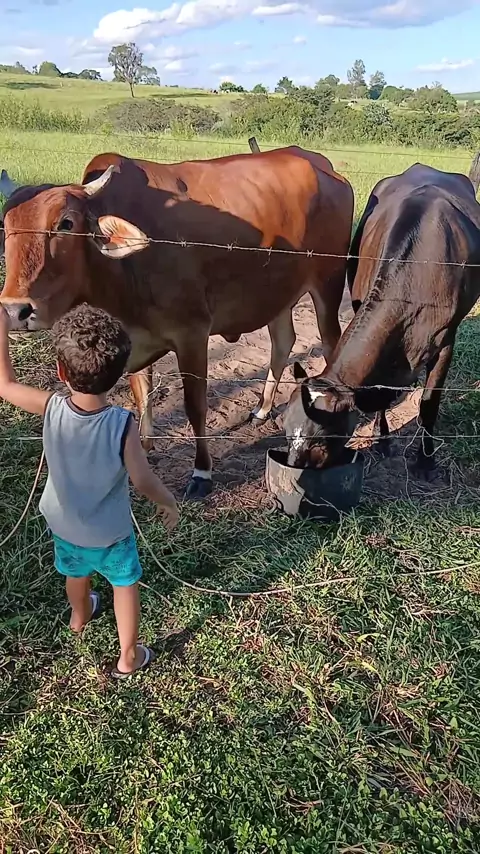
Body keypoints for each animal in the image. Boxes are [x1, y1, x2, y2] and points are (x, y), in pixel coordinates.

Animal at [0, 147, 354, 498]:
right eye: (6, 225)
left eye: (66, 223)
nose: (16, 310)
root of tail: (323, 166)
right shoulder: (134, 337)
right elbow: (141, 395)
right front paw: (142, 449)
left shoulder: (192, 333)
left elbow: (195, 405)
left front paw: (202, 472)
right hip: (278, 291)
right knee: (283, 342)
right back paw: (262, 409)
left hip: (328, 282)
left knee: (331, 341)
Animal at [283, 163, 480, 479]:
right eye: (287, 431)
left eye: (320, 439)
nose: (293, 474)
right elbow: (382, 394)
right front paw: (380, 438)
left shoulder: (446, 339)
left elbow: (429, 404)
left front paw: (425, 461)